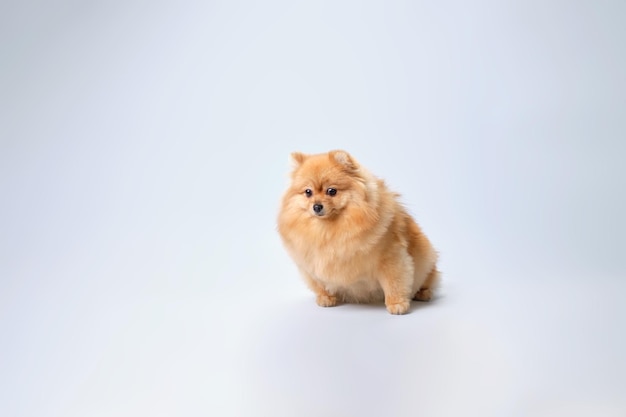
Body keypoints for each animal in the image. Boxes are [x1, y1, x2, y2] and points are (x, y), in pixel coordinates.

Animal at [278, 148, 438, 314]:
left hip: (427, 259)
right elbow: (320, 283)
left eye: (332, 191)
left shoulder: (391, 257)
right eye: (308, 192)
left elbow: (394, 282)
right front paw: (326, 298)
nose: (316, 206)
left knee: (428, 278)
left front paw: (397, 304)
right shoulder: (311, 265)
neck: (329, 230)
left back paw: (423, 293)